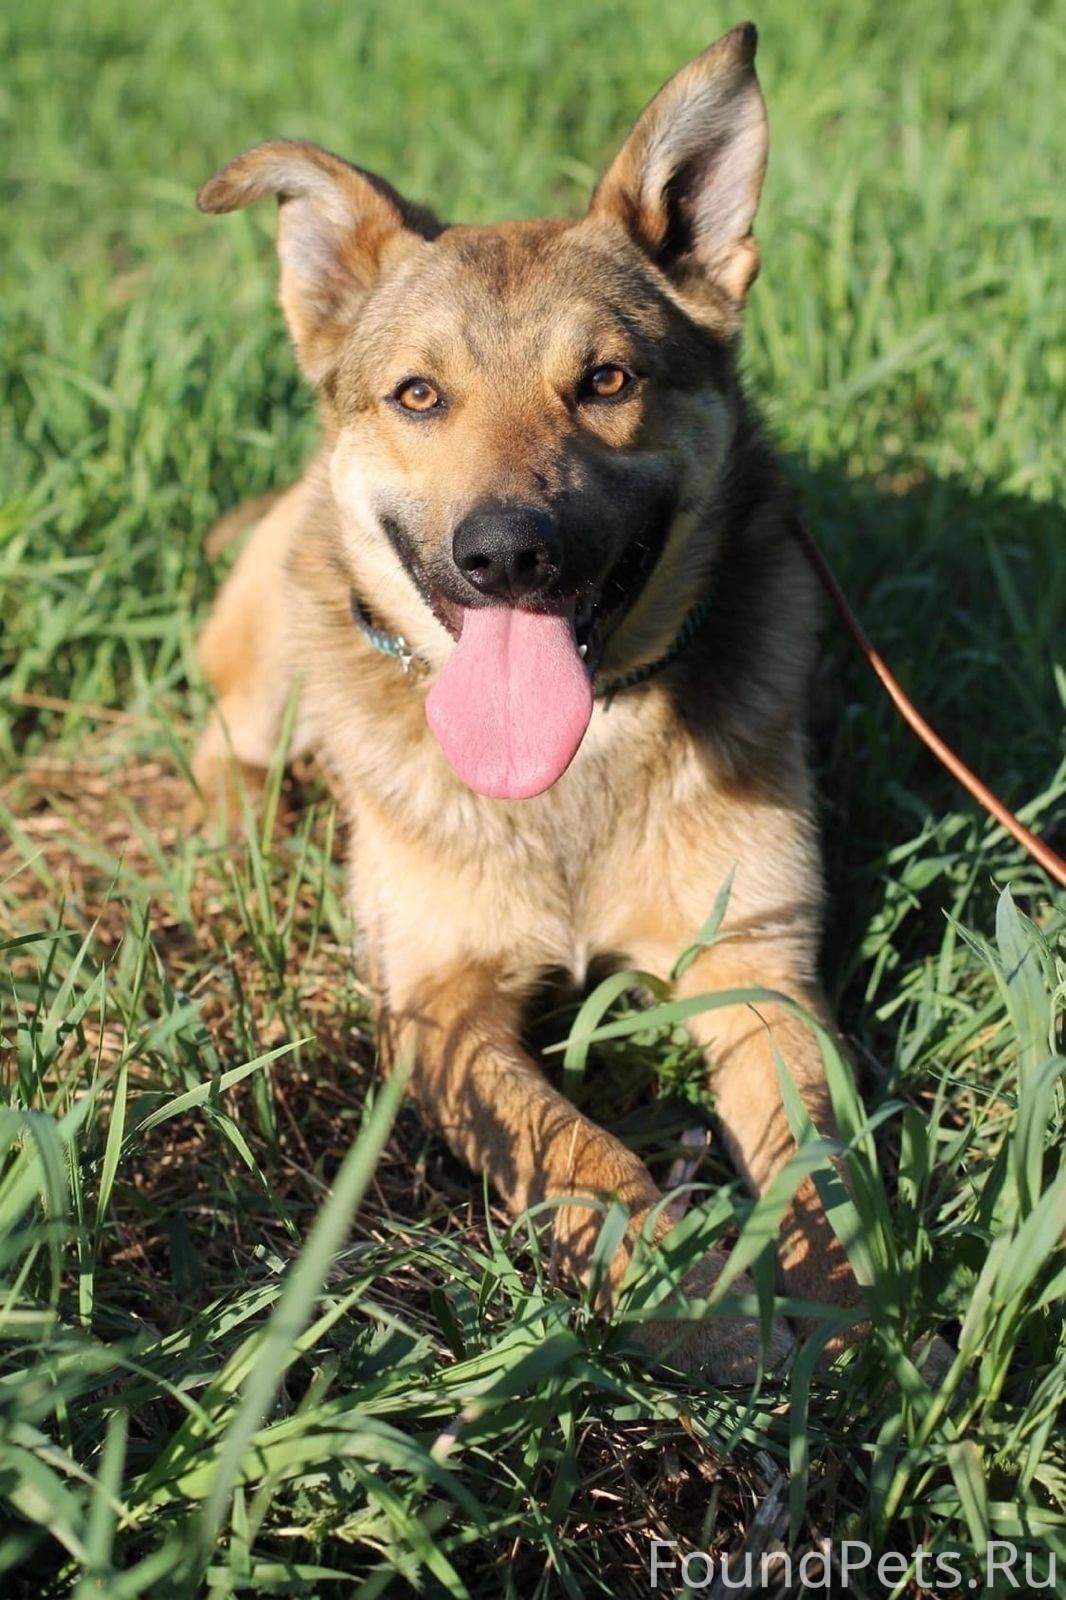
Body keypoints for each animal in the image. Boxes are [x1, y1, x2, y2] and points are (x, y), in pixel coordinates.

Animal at [191, 22, 866, 1382]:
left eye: (604, 379)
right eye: (417, 395)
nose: (506, 554)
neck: (578, 764)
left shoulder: (759, 969)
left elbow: (811, 1160)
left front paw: (836, 1320)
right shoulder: (440, 1009)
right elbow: (577, 1152)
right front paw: (690, 1300)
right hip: (275, 662)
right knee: (219, 741)